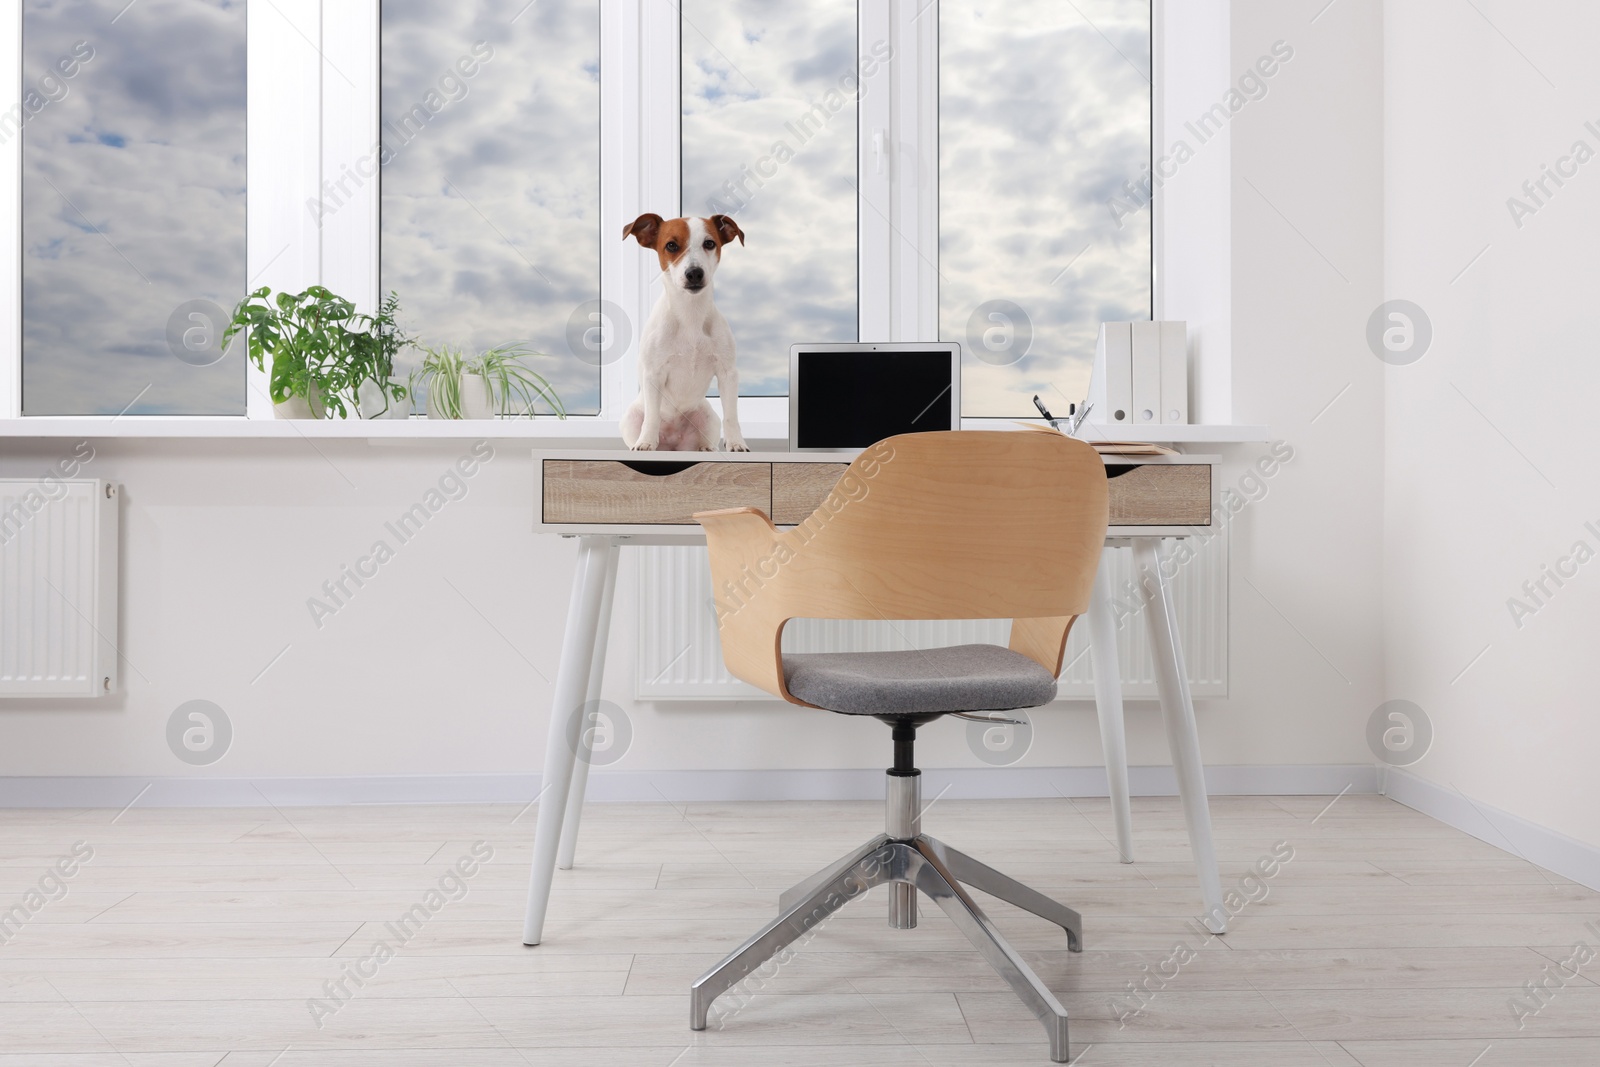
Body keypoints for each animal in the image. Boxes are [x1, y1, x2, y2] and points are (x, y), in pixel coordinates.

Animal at [624, 214, 748, 454]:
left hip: (709, 418)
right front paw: (646, 442)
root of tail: (673, 446)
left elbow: (731, 415)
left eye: (709, 243)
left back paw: (707, 449)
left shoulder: (728, 374)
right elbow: (652, 416)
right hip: (629, 418)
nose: (694, 273)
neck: (691, 314)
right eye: (671, 245)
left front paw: (737, 443)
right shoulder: (653, 374)